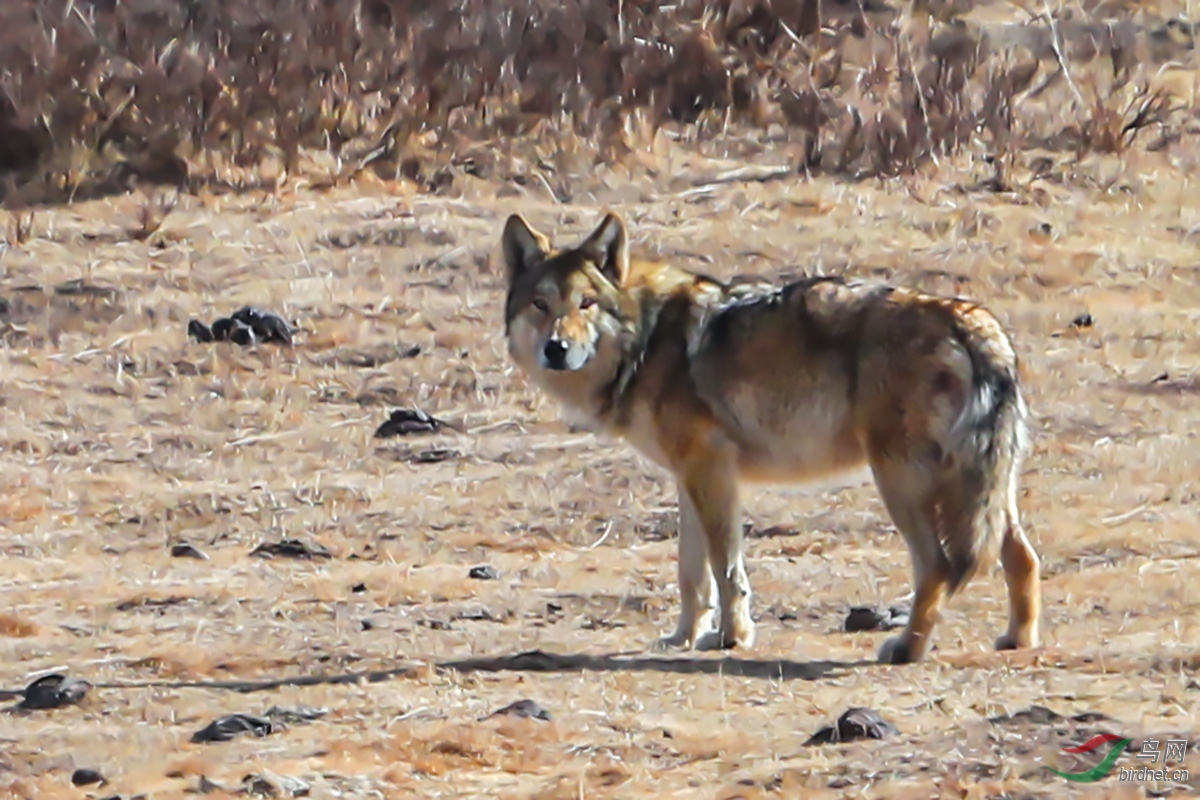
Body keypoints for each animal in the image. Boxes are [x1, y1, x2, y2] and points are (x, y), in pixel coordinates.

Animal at [499, 211, 1041, 662]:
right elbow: (691, 574)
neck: (647, 338)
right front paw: (684, 637)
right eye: (540, 305)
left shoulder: (710, 471)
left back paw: (906, 648)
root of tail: (972, 321)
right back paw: (1016, 640)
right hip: (980, 492)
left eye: (586, 304)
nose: (555, 348)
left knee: (939, 566)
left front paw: (732, 638)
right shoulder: (689, 476)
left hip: (901, 485)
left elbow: (725, 569)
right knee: (1022, 557)